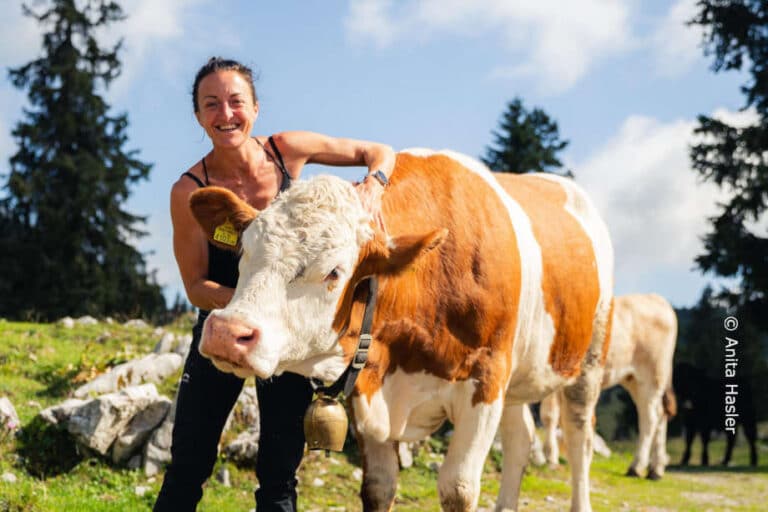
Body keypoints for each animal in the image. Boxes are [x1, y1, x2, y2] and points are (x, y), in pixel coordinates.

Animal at [189, 150, 614, 512]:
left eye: (334, 272)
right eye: (243, 251)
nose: (227, 331)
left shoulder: (487, 377)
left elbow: (458, 488)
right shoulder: (368, 385)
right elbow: (378, 486)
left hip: (588, 361)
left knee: (580, 440)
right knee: (520, 439)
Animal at [539, 293, 678, 480]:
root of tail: (657, 298)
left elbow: (550, 415)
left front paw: (551, 458)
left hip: (651, 377)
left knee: (650, 418)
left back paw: (637, 467)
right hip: (636, 380)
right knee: (661, 415)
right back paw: (655, 469)